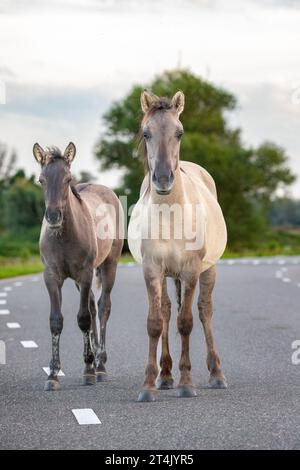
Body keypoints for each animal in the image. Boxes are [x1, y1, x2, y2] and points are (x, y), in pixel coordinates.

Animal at [128, 91, 227, 400]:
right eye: (146, 133)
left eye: (179, 133)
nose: (162, 179)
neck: (170, 215)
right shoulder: (152, 271)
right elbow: (155, 323)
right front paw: (149, 384)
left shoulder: (191, 271)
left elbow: (186, 323)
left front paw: (186, 383)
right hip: (165, 276)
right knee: (166, 311)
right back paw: (166, 375)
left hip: (209, 270)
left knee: (204, 311)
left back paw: (216, 373)